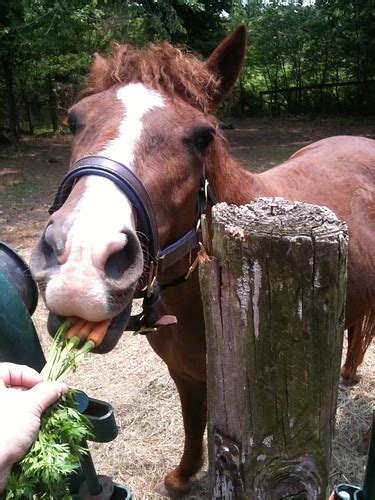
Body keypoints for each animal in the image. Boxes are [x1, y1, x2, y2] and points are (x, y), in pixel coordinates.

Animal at [30, 24, 375, 496]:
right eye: (74, 120)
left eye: (202, 137)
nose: (80, 261)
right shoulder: (183, 372)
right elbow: (193, 423)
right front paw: (182, 476)